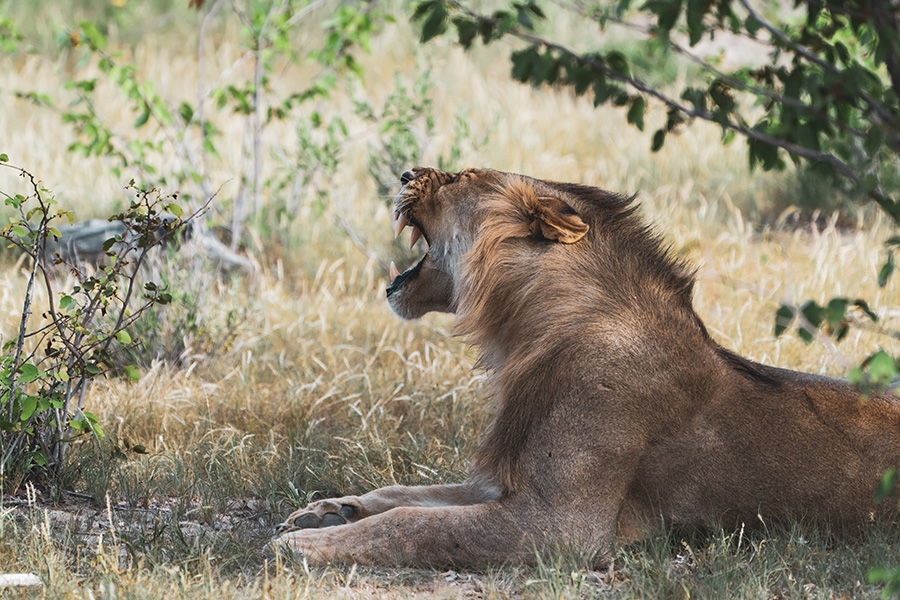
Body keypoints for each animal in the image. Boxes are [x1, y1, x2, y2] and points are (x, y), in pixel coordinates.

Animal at [272, 168, 900, 568]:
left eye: (457, 177)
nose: (405, 170)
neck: (525, 331)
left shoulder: (559, 527)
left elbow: (413, 524)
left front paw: (303, 548)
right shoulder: (503, 479)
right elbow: (407, 494)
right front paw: (326, 512)